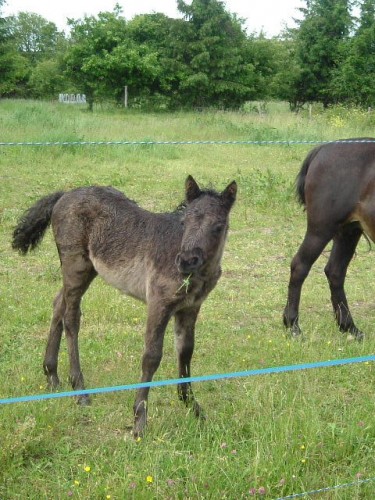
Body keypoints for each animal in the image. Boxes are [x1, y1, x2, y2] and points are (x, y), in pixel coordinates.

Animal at [284, 141, 375, 342]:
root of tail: (323, 148)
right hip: (321, 229)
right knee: (300, 266)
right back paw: (293, 326)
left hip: (349, 231)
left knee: (335, 272)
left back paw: (349, 327)